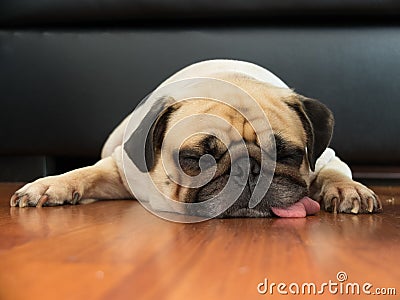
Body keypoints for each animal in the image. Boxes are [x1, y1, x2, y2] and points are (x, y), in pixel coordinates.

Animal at [9, 59, 382, 218]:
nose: (248, 171)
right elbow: (84, 173)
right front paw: (50, 185)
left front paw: (348, 190)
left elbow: (333, 172)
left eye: (288, 156)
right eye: (194, 161)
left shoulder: (328, 156)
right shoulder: (120, 169)